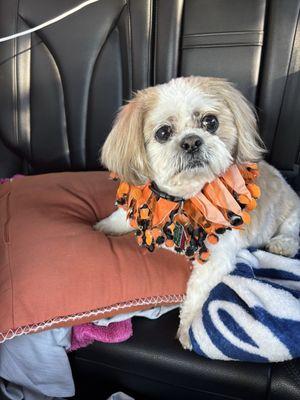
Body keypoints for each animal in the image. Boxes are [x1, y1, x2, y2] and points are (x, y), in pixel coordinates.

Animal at [94, 76, 300, 348]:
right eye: (163, 133)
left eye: (210, 122)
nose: (191, 141)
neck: (183, 199)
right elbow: (122, 217)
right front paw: (101, 227)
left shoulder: (215, 259)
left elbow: (195, 294)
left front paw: (187, 329)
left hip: (291, 211)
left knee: (292, 233)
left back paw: (281, 245)